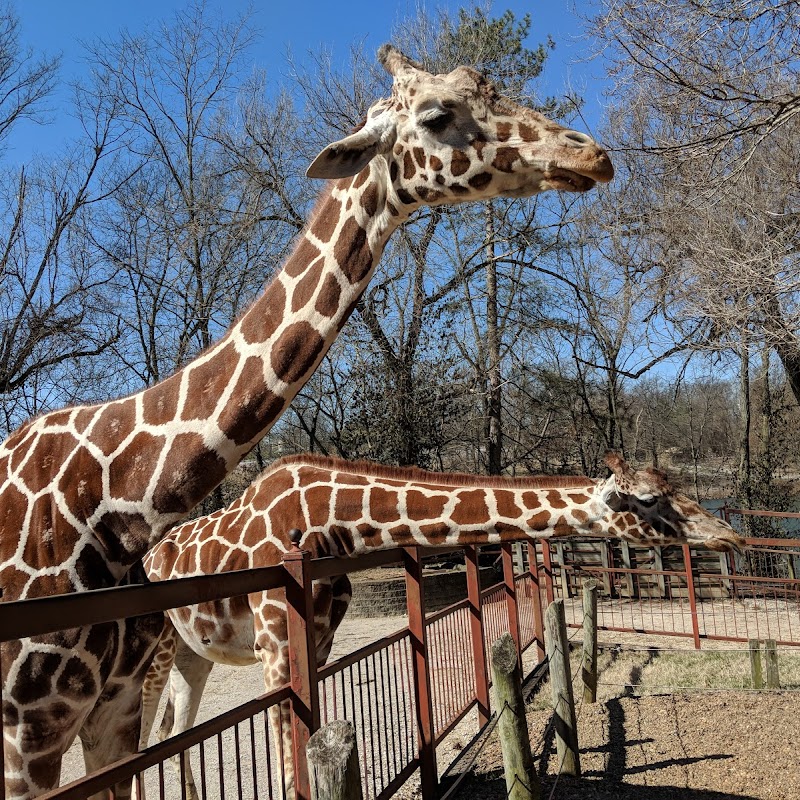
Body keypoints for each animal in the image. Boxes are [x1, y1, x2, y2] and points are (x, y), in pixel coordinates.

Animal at [0, 45, 616, 800]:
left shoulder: (128, 701)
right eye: (436, 115)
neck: (114, 501)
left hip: (177, 659)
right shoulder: (31, 727)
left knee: (175, 728)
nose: (589, 153)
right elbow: (290, 764)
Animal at [139, 454, 744, 796]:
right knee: (143, 736)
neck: (331, 525)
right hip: (153, 649)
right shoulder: (275, 644)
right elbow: (290, 764)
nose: (729, 535)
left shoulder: (318, 640)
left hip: (196, 653)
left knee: (174, 730)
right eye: (650, 499)